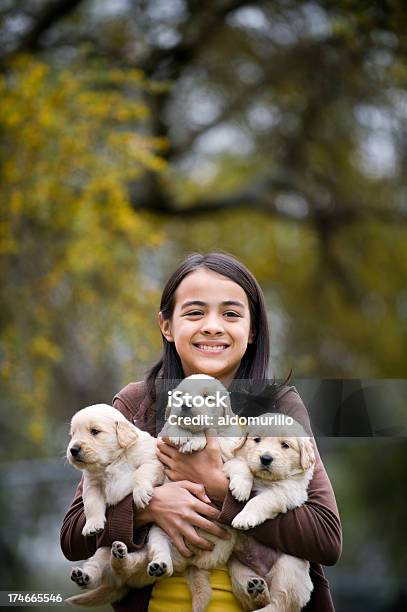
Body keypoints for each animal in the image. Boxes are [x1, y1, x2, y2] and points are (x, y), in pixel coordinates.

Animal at [223, 418, 316, 612]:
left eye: (285, 445)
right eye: (257, 439)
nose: (265, 458)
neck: (264, 480)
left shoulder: (286, 492)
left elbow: (259, 501)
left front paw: (244, 518)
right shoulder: (233, 461)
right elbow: (242, 465)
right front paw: (241, 488)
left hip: (289, 568)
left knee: (280, 603)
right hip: (237, 569)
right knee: (252, 598)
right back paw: (256, 588)